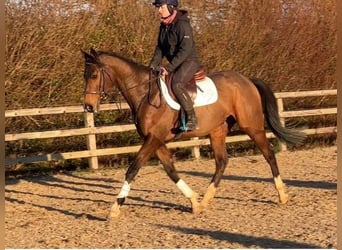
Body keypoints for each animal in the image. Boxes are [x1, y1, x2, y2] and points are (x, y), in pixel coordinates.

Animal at [82, 48, 304, 217]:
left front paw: (114, 209)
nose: (88, 107)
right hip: (217, 131)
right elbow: (170, 170)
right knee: (221, 162)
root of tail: (246, 80)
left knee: (268, 154)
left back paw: (282, 195)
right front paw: (195, 202)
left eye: (94, 75)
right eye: (85, 76)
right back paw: (206, 200)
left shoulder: (153, 139)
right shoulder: (156, 140)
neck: (146, 94)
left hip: (252, 127)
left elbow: (133, 169)